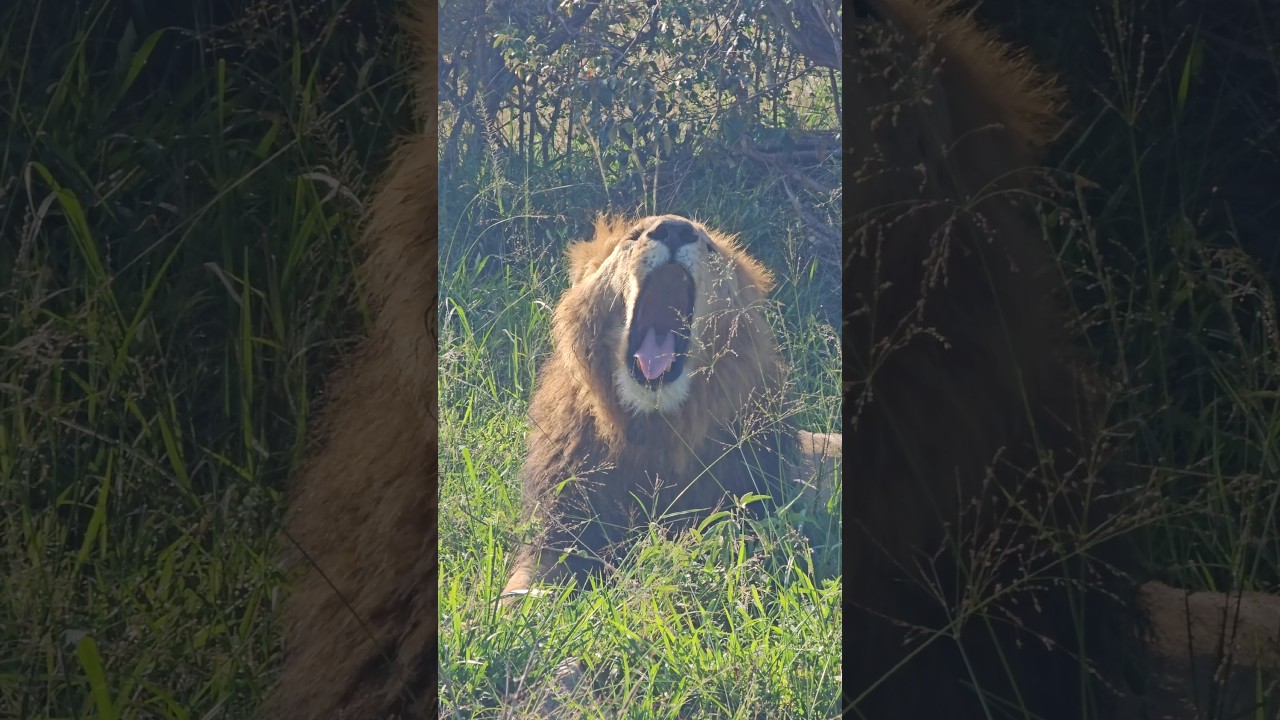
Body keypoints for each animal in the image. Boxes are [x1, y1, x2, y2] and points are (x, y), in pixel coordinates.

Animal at [500, 214, 840, 603]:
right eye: (633, 237)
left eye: (710, 248)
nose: (675, 228)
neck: (657, 428)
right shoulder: (556, 532)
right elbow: (518, 593)